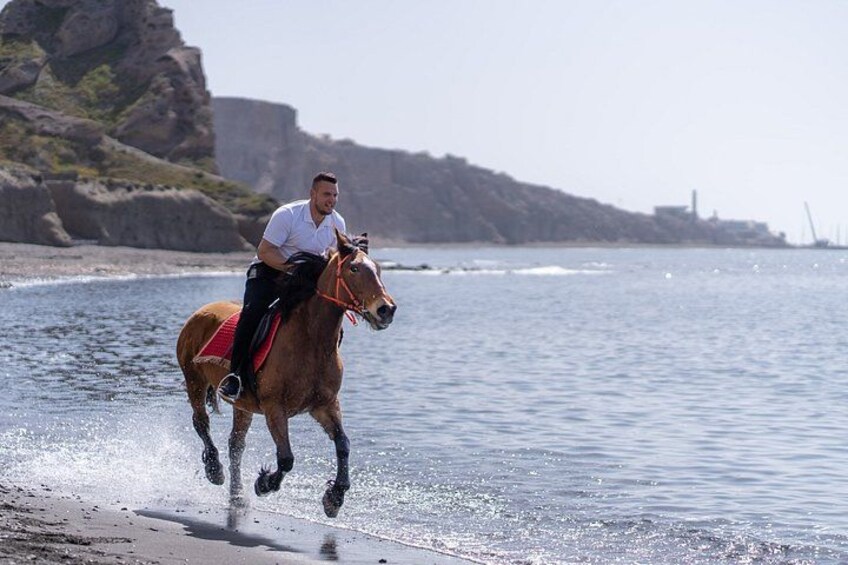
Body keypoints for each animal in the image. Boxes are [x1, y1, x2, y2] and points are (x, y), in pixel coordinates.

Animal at [175, 230, 397, 517]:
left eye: (378, 269)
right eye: (354, 268)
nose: (386, 309)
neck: (311, 342)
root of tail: (199, 312)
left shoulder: (325, 405)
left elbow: (343, 444)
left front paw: (334, 498)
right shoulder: (274, 408)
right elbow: (286, 458)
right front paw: (264, 483)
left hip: (242, 405)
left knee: (236, 445)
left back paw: (237, 495)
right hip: (194, 380)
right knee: (201, 422)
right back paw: (215, 471)